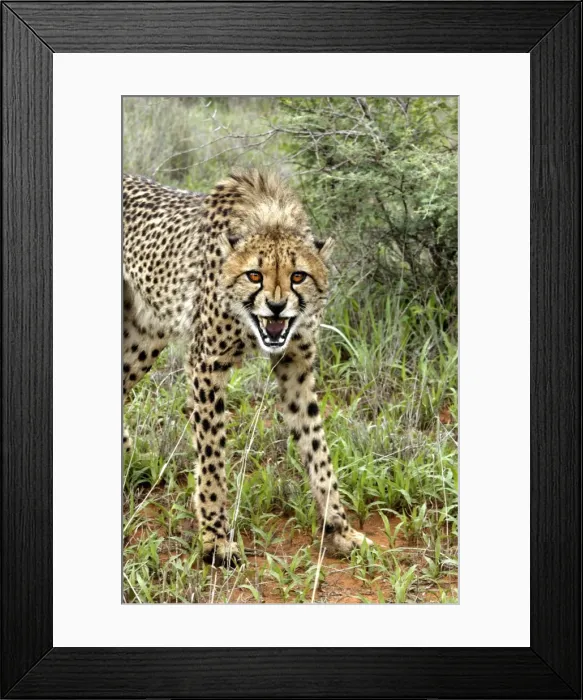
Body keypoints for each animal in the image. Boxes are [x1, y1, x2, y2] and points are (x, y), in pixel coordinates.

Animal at [123, 169, 372, 566]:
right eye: (254, 275)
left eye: (298, 276)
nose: (276, 306)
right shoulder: (207, 363)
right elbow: (212, 458)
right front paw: (215, 540)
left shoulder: (296, 365)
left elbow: (317, 448)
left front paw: (340, 528)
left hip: (145, 336)